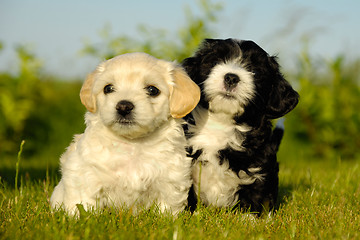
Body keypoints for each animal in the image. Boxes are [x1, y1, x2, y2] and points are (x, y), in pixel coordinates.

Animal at [50, 53, 200, 216]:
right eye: (108, 88)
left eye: (152, 90)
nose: (123, 106)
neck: (132, 144)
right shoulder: (84, 175)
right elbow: (84, 205)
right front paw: (80, 217)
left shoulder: (171, 181)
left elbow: (166, 209)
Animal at [181, 38, 300, 215]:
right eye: (215, 62)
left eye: (255, 72)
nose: (231, 77)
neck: (221, 125)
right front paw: (189, 214)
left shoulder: (260, 166)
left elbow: (256, 193)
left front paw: (248, 218)